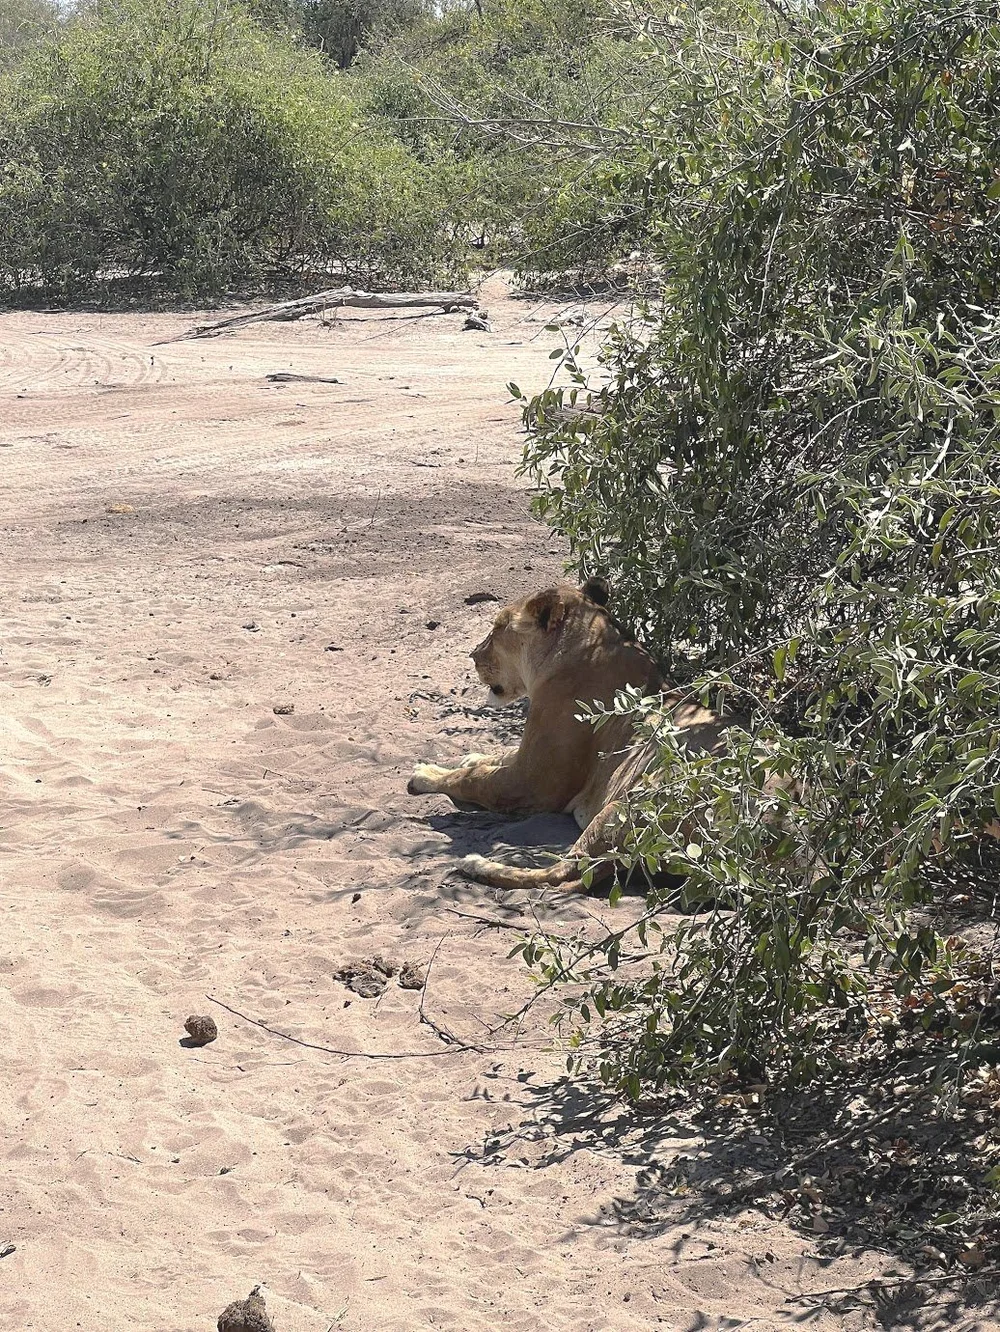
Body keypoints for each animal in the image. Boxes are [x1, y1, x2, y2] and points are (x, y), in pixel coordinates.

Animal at [407, 578, 735, 892]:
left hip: (631, 803)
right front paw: (470, 757)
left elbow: (473, 779)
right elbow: (496, 757)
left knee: (564, 873)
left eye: (498, 628)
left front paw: (424, 774)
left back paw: (476, 865)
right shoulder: (527, 756)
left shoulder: (532, 783)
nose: (472, 654)